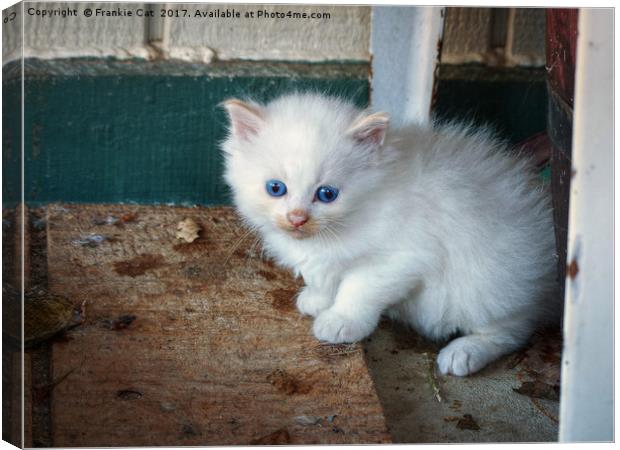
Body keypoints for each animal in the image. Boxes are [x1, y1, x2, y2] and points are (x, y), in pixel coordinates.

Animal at [222, 94, 556, 376]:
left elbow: (358, 289)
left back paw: (464, 353)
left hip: (484, 285)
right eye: (275, 188)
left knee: (514, 329)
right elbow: (324, 276)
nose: (297, 219)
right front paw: (317, 300)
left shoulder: (400, 258)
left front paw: (340, 321)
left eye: (327, 194)